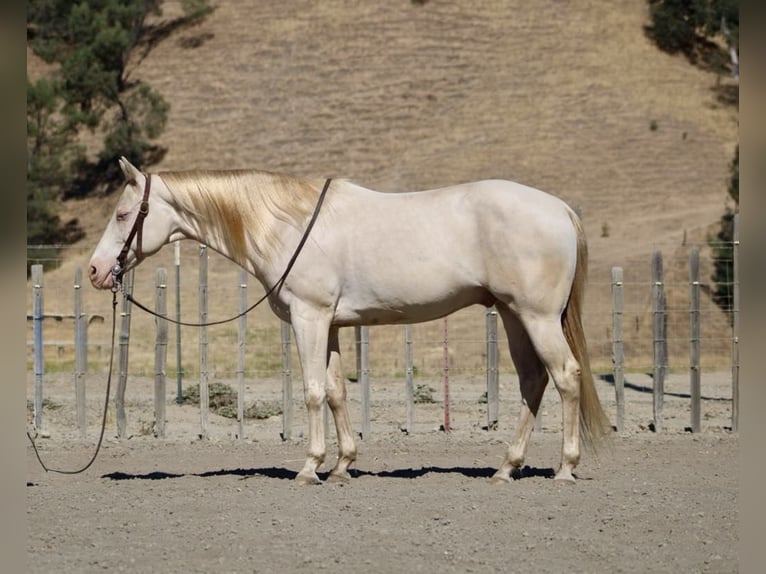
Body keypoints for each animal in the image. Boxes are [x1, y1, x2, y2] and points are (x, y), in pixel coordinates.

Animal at [89, 157, 611, 485]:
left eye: (123, 214)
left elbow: (313, 391)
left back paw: (565, 468)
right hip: (511, 314)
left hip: (536, 317)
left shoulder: (309, 317)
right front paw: (342, 465)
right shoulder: (334, 325)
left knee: (565, 377)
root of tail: (560, 208)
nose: (96, 270)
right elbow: (337, 391)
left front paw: (308, 467)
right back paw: (506, 467)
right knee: (532, 381)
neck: (288, 222)